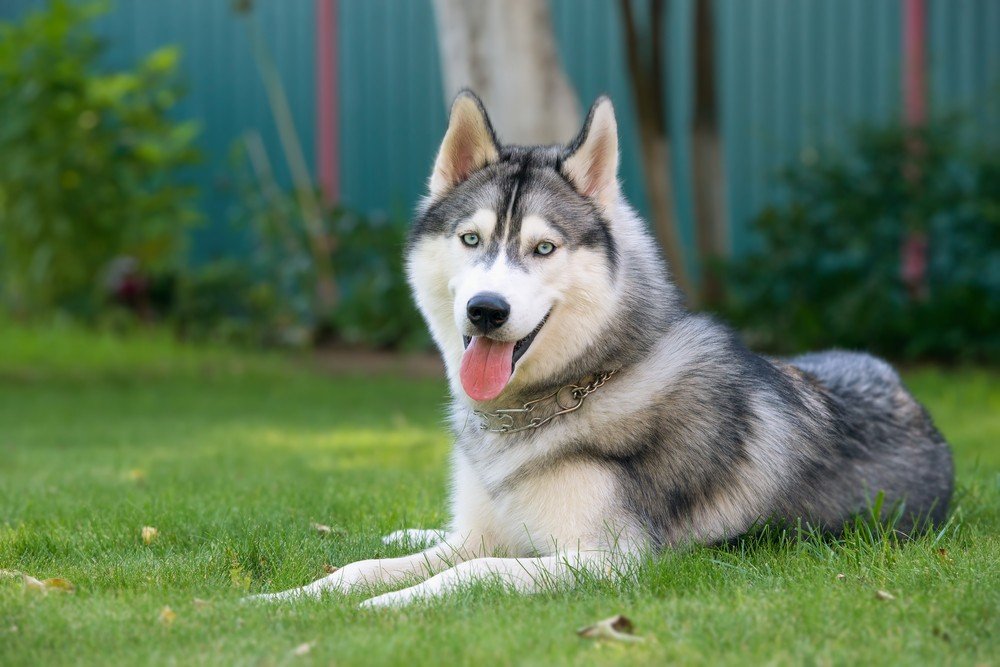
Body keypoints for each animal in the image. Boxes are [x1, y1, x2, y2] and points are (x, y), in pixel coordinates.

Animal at [254, 91, 956, 608]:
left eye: (543, 248)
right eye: (471, 239)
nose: (487, 310)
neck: (555, 400)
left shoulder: (611, 563)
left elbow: (474, 573)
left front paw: (381, 609)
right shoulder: (484, 533)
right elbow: (364, 567)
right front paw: (289, 599)